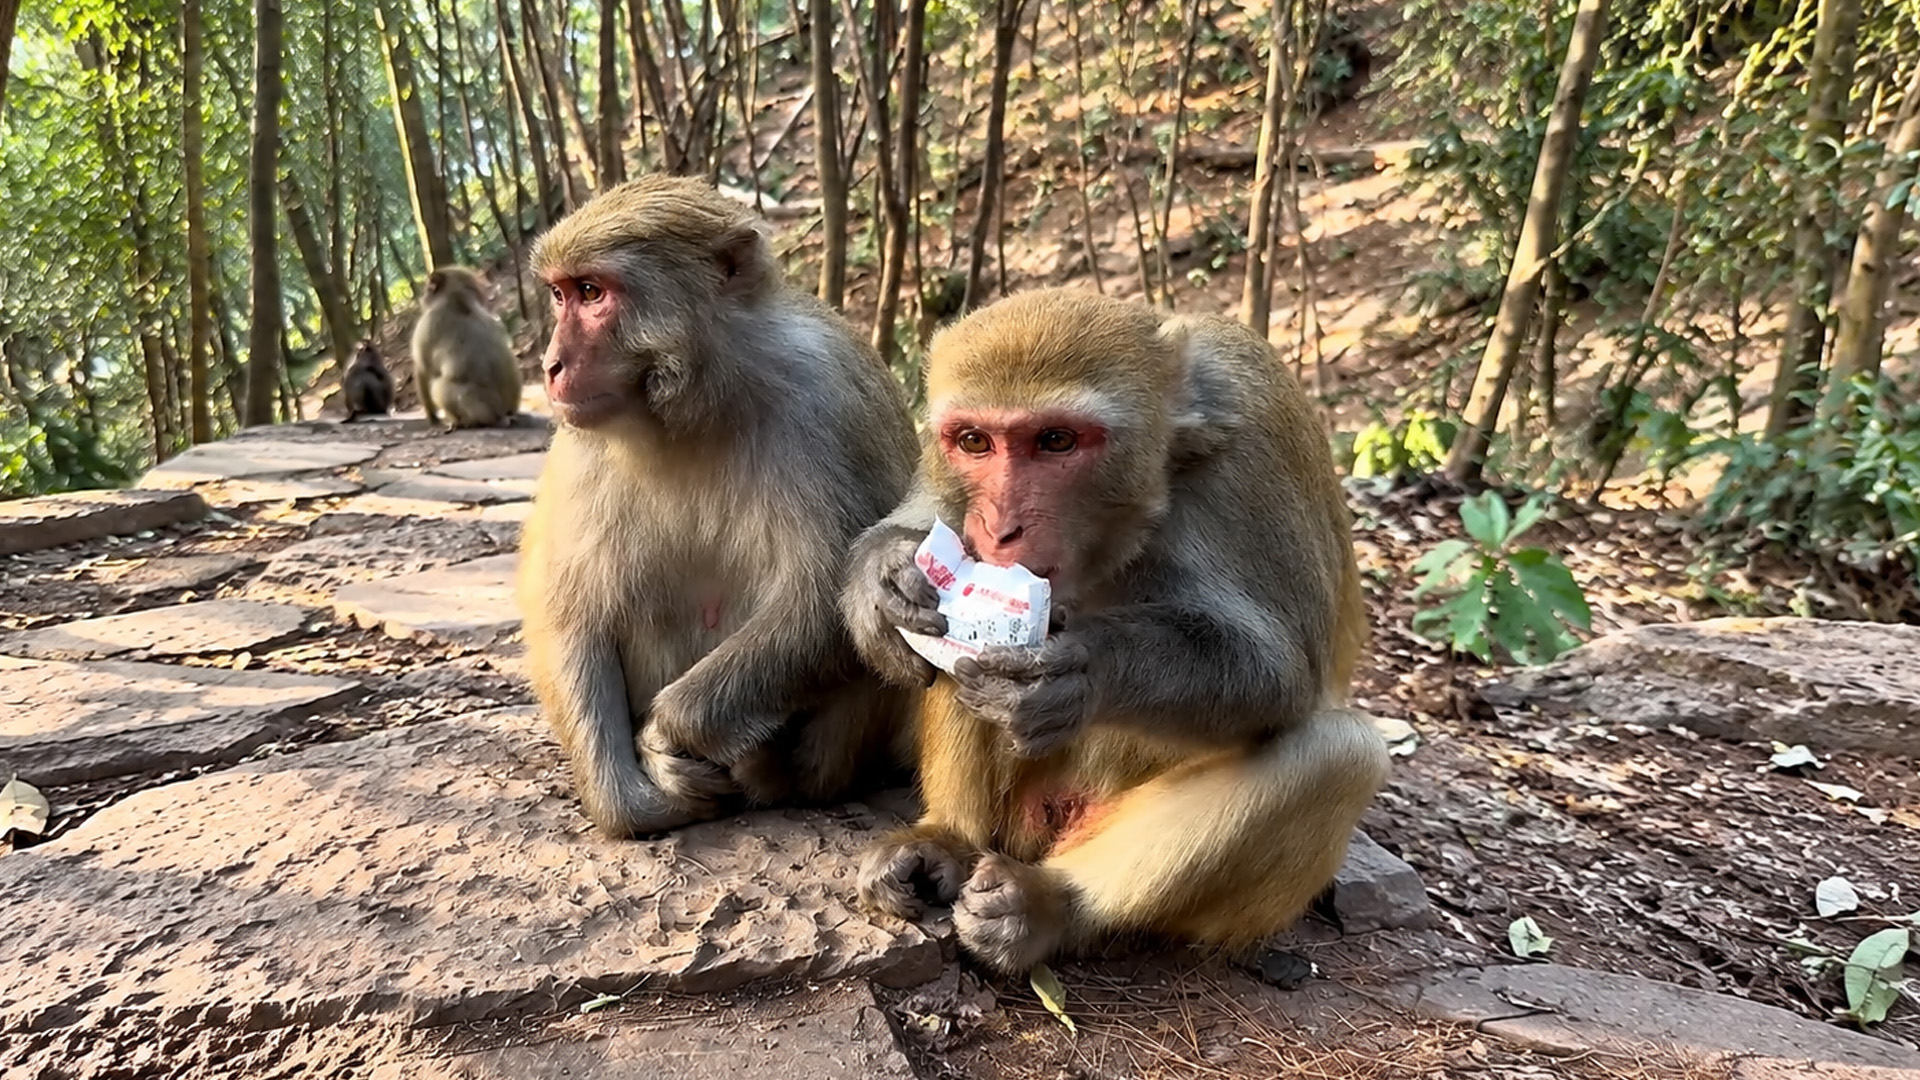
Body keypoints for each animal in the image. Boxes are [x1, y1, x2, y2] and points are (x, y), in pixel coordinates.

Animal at [410, 266, 523, 429]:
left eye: (427, 289)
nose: (423, 296)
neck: (457, 298)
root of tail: (504, 415)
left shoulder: (428, 323)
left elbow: (423, 369)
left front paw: (432, 417)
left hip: (482, 411)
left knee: (439, 387)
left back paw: (463, 421)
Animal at [516, 174, 921, 839]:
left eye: (592, 293)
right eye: (559, 294)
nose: (551, 365)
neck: (695, 404)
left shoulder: (826, 398)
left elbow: (826, 598)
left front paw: (665, 735)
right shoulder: (580, 444)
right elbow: (571, 609)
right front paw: (631, 798)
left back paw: (773, 773)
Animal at [840, 288, 1391, 975]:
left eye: (1056, 441)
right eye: (973, 441)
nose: (1000, 529)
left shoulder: (1253, 458)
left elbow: (1284, 676)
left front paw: (1079, 674)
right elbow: (926, 522)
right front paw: (884, 580)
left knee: (1341, 752)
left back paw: (1049, 907)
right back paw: (950, 838)